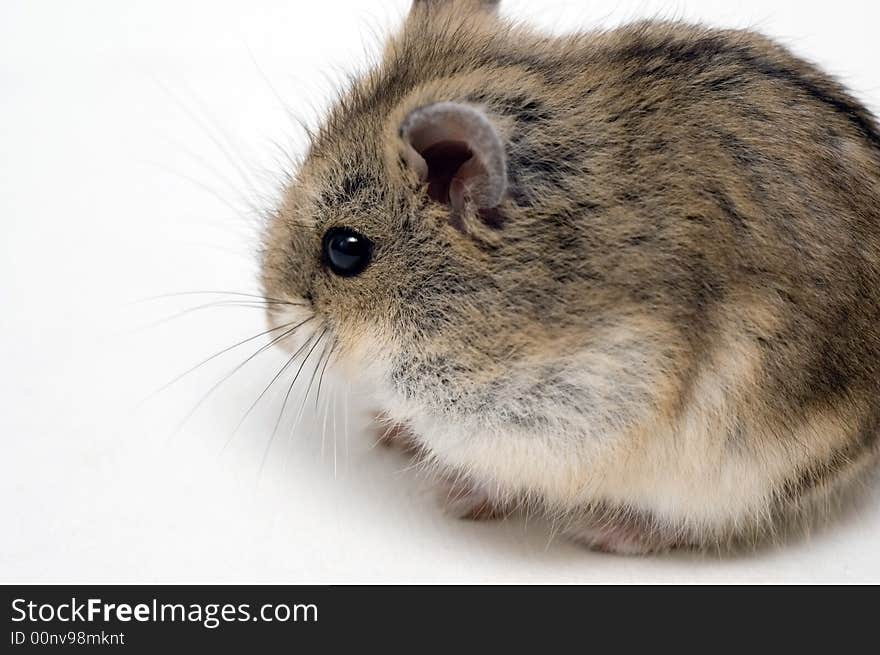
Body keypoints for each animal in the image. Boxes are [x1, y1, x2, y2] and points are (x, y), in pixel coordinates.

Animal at [260, 0, 880, 552]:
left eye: (345, 251)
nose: (274, 326)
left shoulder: (561, 419)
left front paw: (453, 495)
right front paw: (386, 429)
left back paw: (605, 530)